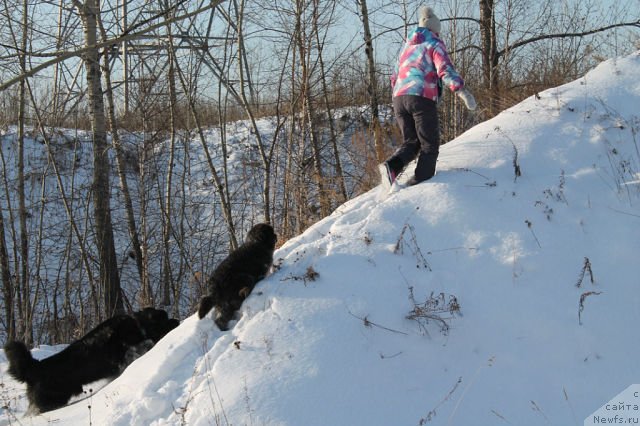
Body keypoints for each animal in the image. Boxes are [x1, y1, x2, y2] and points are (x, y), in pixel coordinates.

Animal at [3, 308, 179, 414]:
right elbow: (140, 347)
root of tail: (35, 367)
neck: (138, 325)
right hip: (52, 400)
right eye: (165, 319)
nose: (177, 321)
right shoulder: (123, 354)